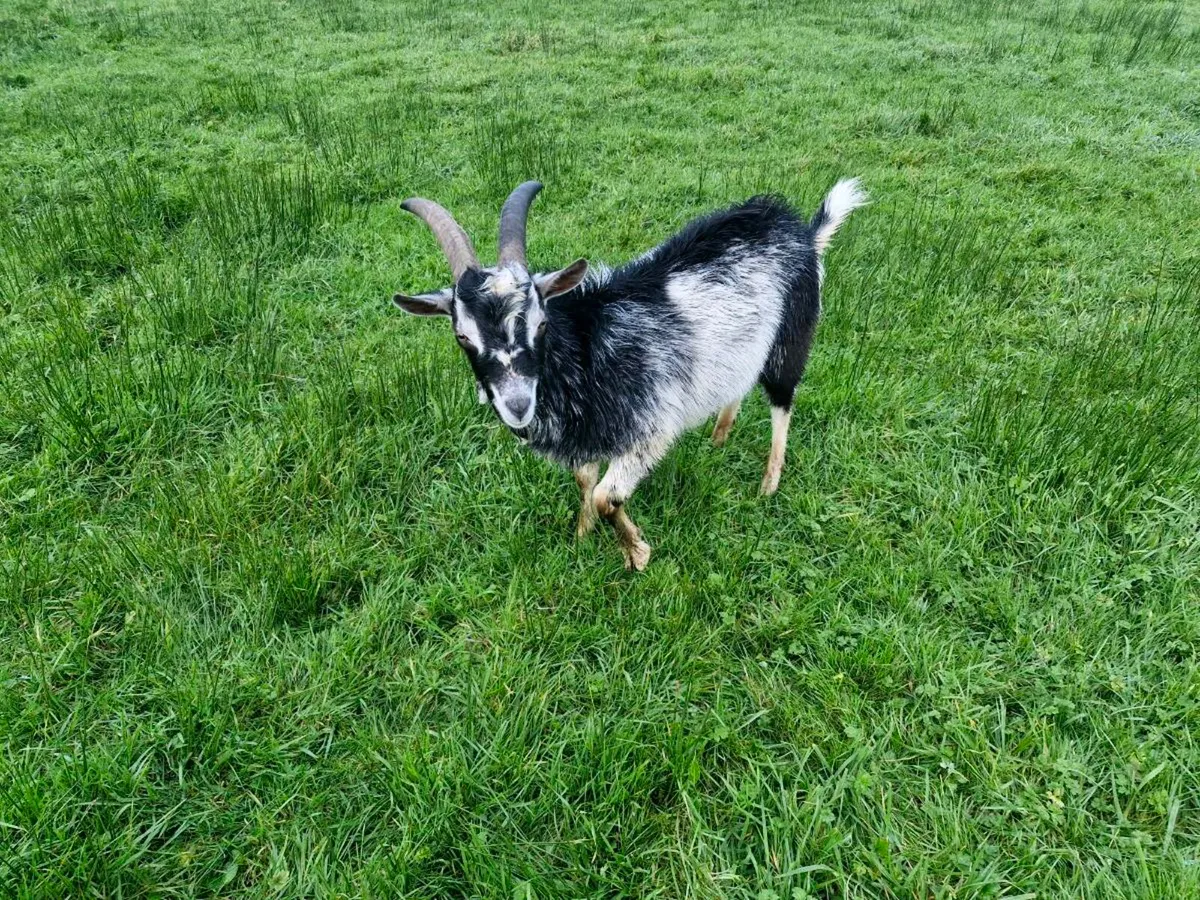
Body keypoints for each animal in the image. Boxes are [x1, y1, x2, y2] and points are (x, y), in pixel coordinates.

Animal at [393, 179, 866, 570]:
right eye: (462, 336)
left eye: (541, 322)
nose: (517, 405)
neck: (589, 351)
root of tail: (804, 234)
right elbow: (585, 480)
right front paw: (582, 536)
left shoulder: (651, 427)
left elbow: (608, 496)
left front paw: (637, 553)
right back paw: (718, 437)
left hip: (791, 336)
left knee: (783, 403)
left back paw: (768, 485)